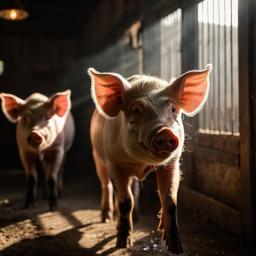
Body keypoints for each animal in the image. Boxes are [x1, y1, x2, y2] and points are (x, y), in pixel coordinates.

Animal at [88, 64, 212, 254]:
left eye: (173, 109)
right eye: (137, 111)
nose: (165, 131)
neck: (141, 163)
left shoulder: (172, 163)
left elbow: (170, 201)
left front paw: (176, 248)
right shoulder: (114, 163)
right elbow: (125, 201)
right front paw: (123, 243)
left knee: (134, 188)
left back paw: (136, 217)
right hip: (98, 157)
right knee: (106, 185)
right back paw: (106, 217)